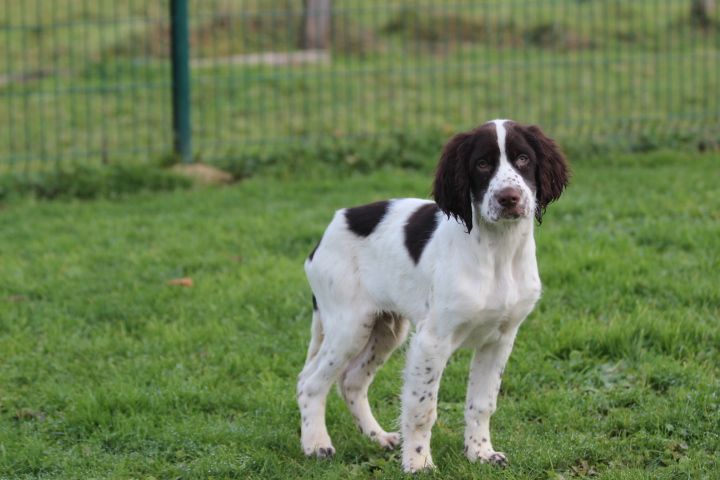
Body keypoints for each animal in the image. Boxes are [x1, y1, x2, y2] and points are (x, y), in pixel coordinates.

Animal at [296, 120, 568, 472]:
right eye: (482, 164)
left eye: (523, 159)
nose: (509, 198)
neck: (498, 252)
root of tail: (330, 228)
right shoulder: (432, 340)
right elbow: (422, 408)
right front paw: (418, 463)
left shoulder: (500, 339)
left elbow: (482, 403)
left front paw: (480, 453)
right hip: (349, 326)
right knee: (311, 383)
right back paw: (316, 445)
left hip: (386, 329)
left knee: (352, 381)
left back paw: (378, 437)